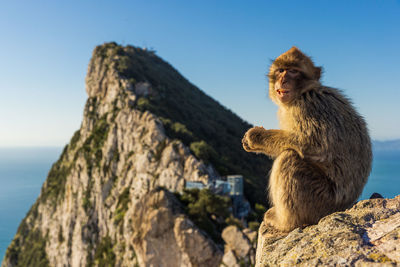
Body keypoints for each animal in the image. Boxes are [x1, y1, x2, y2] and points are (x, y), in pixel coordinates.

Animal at [242, 47, 374, 233]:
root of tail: (345, 206)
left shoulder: (308, 105)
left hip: (321, 200)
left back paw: (285, 222)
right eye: (281, 70)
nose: (283, 79)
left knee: (289, 158)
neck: (301, 93)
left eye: (293, 71)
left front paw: (256, 137)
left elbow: (314, 144)